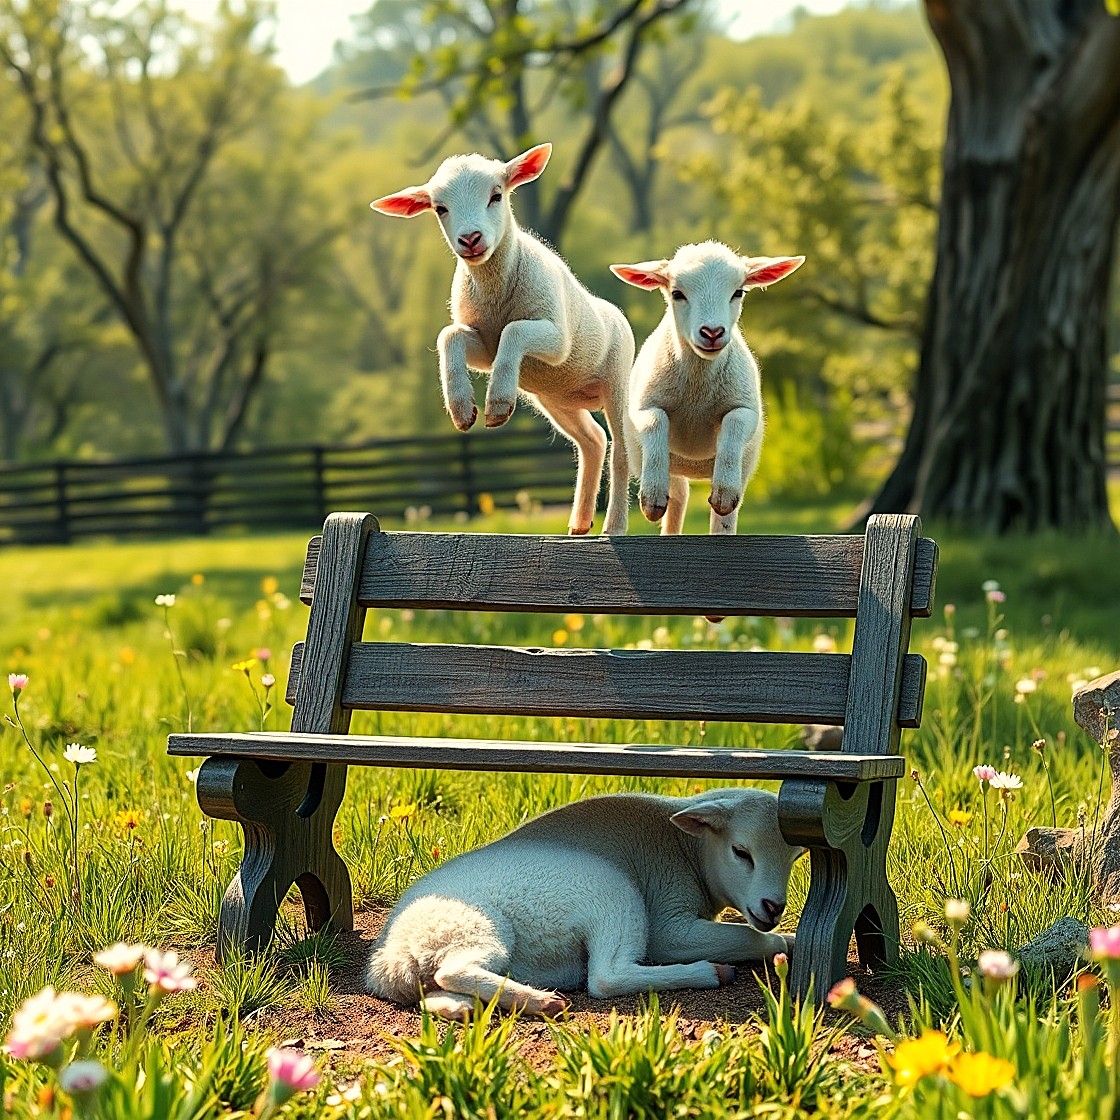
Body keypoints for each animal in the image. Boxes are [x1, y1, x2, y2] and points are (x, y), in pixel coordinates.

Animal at [366, 787, 802, 1020]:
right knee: (606, 977)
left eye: (796, 858)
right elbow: (746, 937)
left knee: (436, 987)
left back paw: (469, 1007)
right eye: (741, 852)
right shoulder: (669, 924)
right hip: (603, 893)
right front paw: (783, 943)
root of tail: (396, 953)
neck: (687, 850)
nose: (773, 907)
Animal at [371, 143, 634, 536]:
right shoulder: (484, 346)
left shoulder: (556, 339)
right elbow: (449, 336)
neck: (496, 291)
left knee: (621, 451)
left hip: (616, 381)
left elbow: (516, 330)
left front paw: (496, 405)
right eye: (440, 208)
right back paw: (579, 523)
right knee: (593, 440)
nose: (470, 240)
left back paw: (613, 526)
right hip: (556, 399)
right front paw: (462, 409)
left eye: (496, 195)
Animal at [612, 242, 804, 535]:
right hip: (660, 459)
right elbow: (656, 421)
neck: (697, 390)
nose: (712, 332)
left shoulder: (747, 409)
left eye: (738, 292)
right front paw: (651, 497)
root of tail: (692, 464)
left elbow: (735, 422)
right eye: (677, 294)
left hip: (741, 468)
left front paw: (723, 492)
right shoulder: (643, 407)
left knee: (718, 515)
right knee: (673, 493)